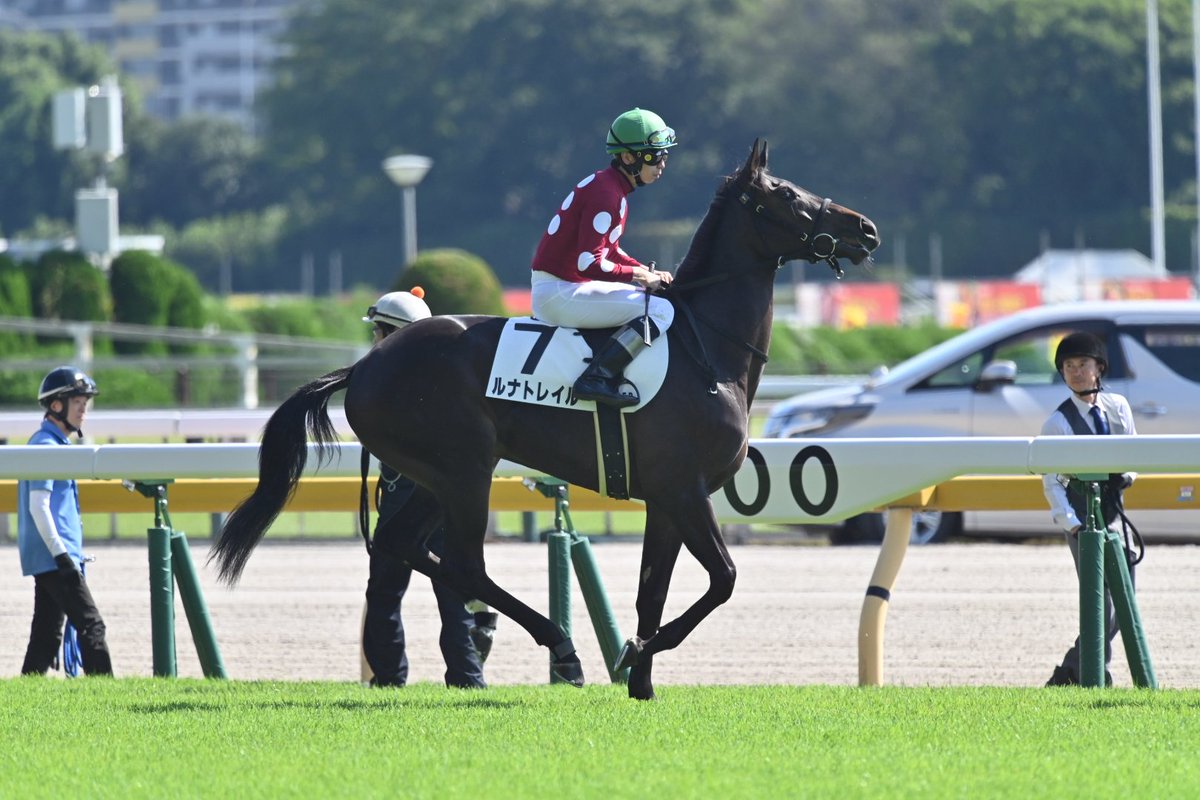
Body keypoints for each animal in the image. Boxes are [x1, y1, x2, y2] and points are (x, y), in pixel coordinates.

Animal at [211, 139, 879, 700]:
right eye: (785, 193)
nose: (865, 228)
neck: (707, 351)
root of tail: (365, 364)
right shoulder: (686, 491)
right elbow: (724, 578)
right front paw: (632, 655)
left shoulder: (666, 499)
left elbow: (652, 591)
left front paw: (641, 677)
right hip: (465, 469)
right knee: (464, 564)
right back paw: (562, 646)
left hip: (432, 477)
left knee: (406, 547)